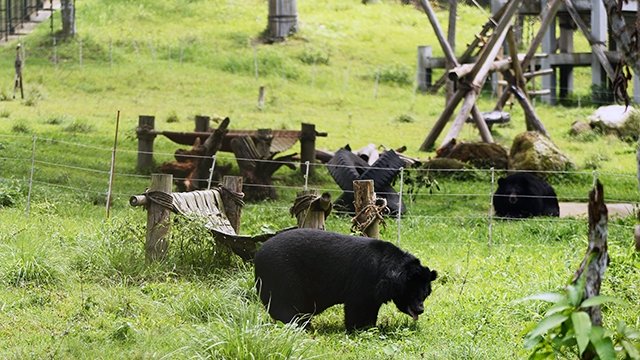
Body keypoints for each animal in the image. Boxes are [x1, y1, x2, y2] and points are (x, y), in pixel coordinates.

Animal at [252, 229, 438, 330]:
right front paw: (359, 328)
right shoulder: (364, 279)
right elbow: (358, 306)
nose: (420, 309)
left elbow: (371, 306)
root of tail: (257, 255)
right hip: (282, 274)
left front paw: (371, 326)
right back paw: (299, 324)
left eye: (425, 295)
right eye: (414, 294)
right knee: (286, 304)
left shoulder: (375, 291)